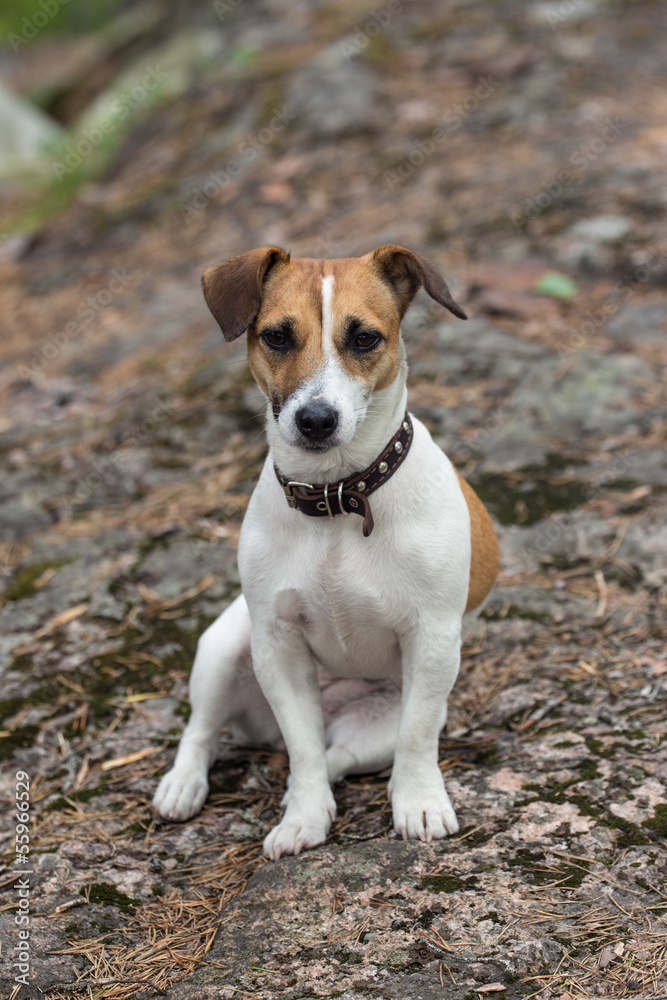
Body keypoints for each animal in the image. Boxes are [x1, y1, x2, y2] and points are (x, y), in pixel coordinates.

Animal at [154, 244, 498, 860]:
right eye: (276, 336)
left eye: (364, 338)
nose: (316, 419)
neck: (338, 497)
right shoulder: (278, 646)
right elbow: (303, 748)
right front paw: (304, 818)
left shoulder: (432, 639)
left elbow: (412, 739)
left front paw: (419, 804)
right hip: (226, 646)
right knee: (209, 730)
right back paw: (185, 784)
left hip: (376, 724)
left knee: (346, 753)